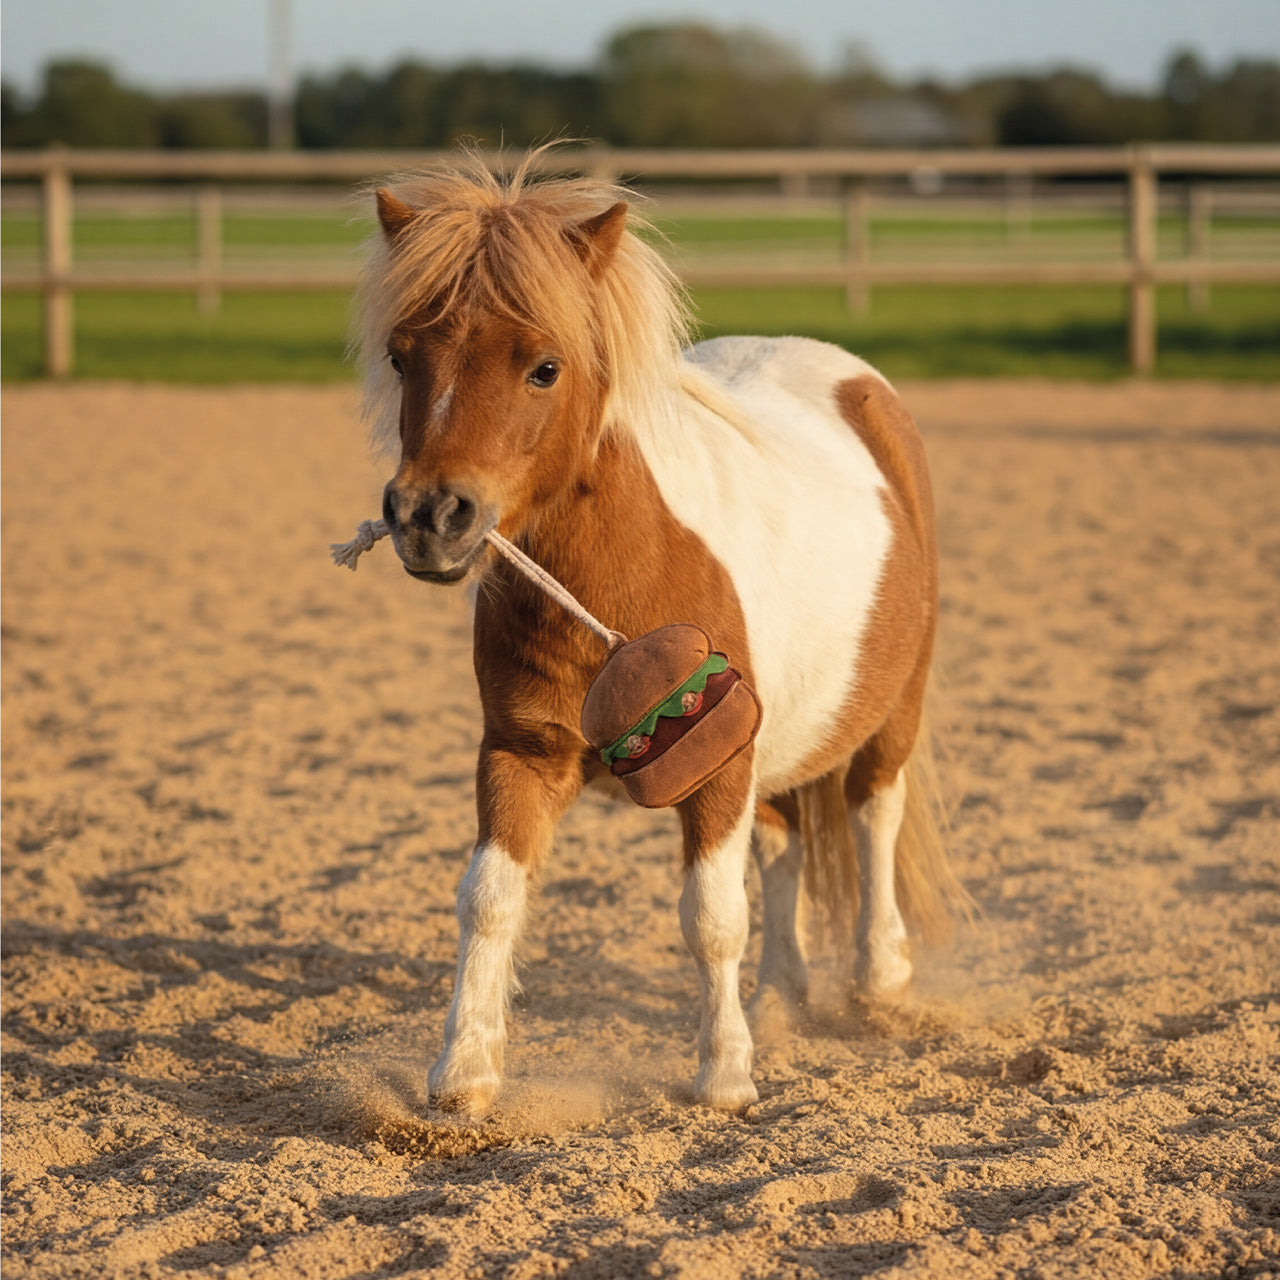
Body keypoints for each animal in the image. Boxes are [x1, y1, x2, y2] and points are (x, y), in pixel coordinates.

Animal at [355, 149, 965, 1111]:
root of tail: (858, 383)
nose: (428, 517)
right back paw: (782, 1000)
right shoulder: (520, 754)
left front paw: (723, 1076)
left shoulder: (717, 768)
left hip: (891, 714)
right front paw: (463, 1076)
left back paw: (880, 982)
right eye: (400, 355)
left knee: (874, 818)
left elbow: (712, 918)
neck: (620, 585)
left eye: (544, 367)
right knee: (786, 844)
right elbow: (489, 898)